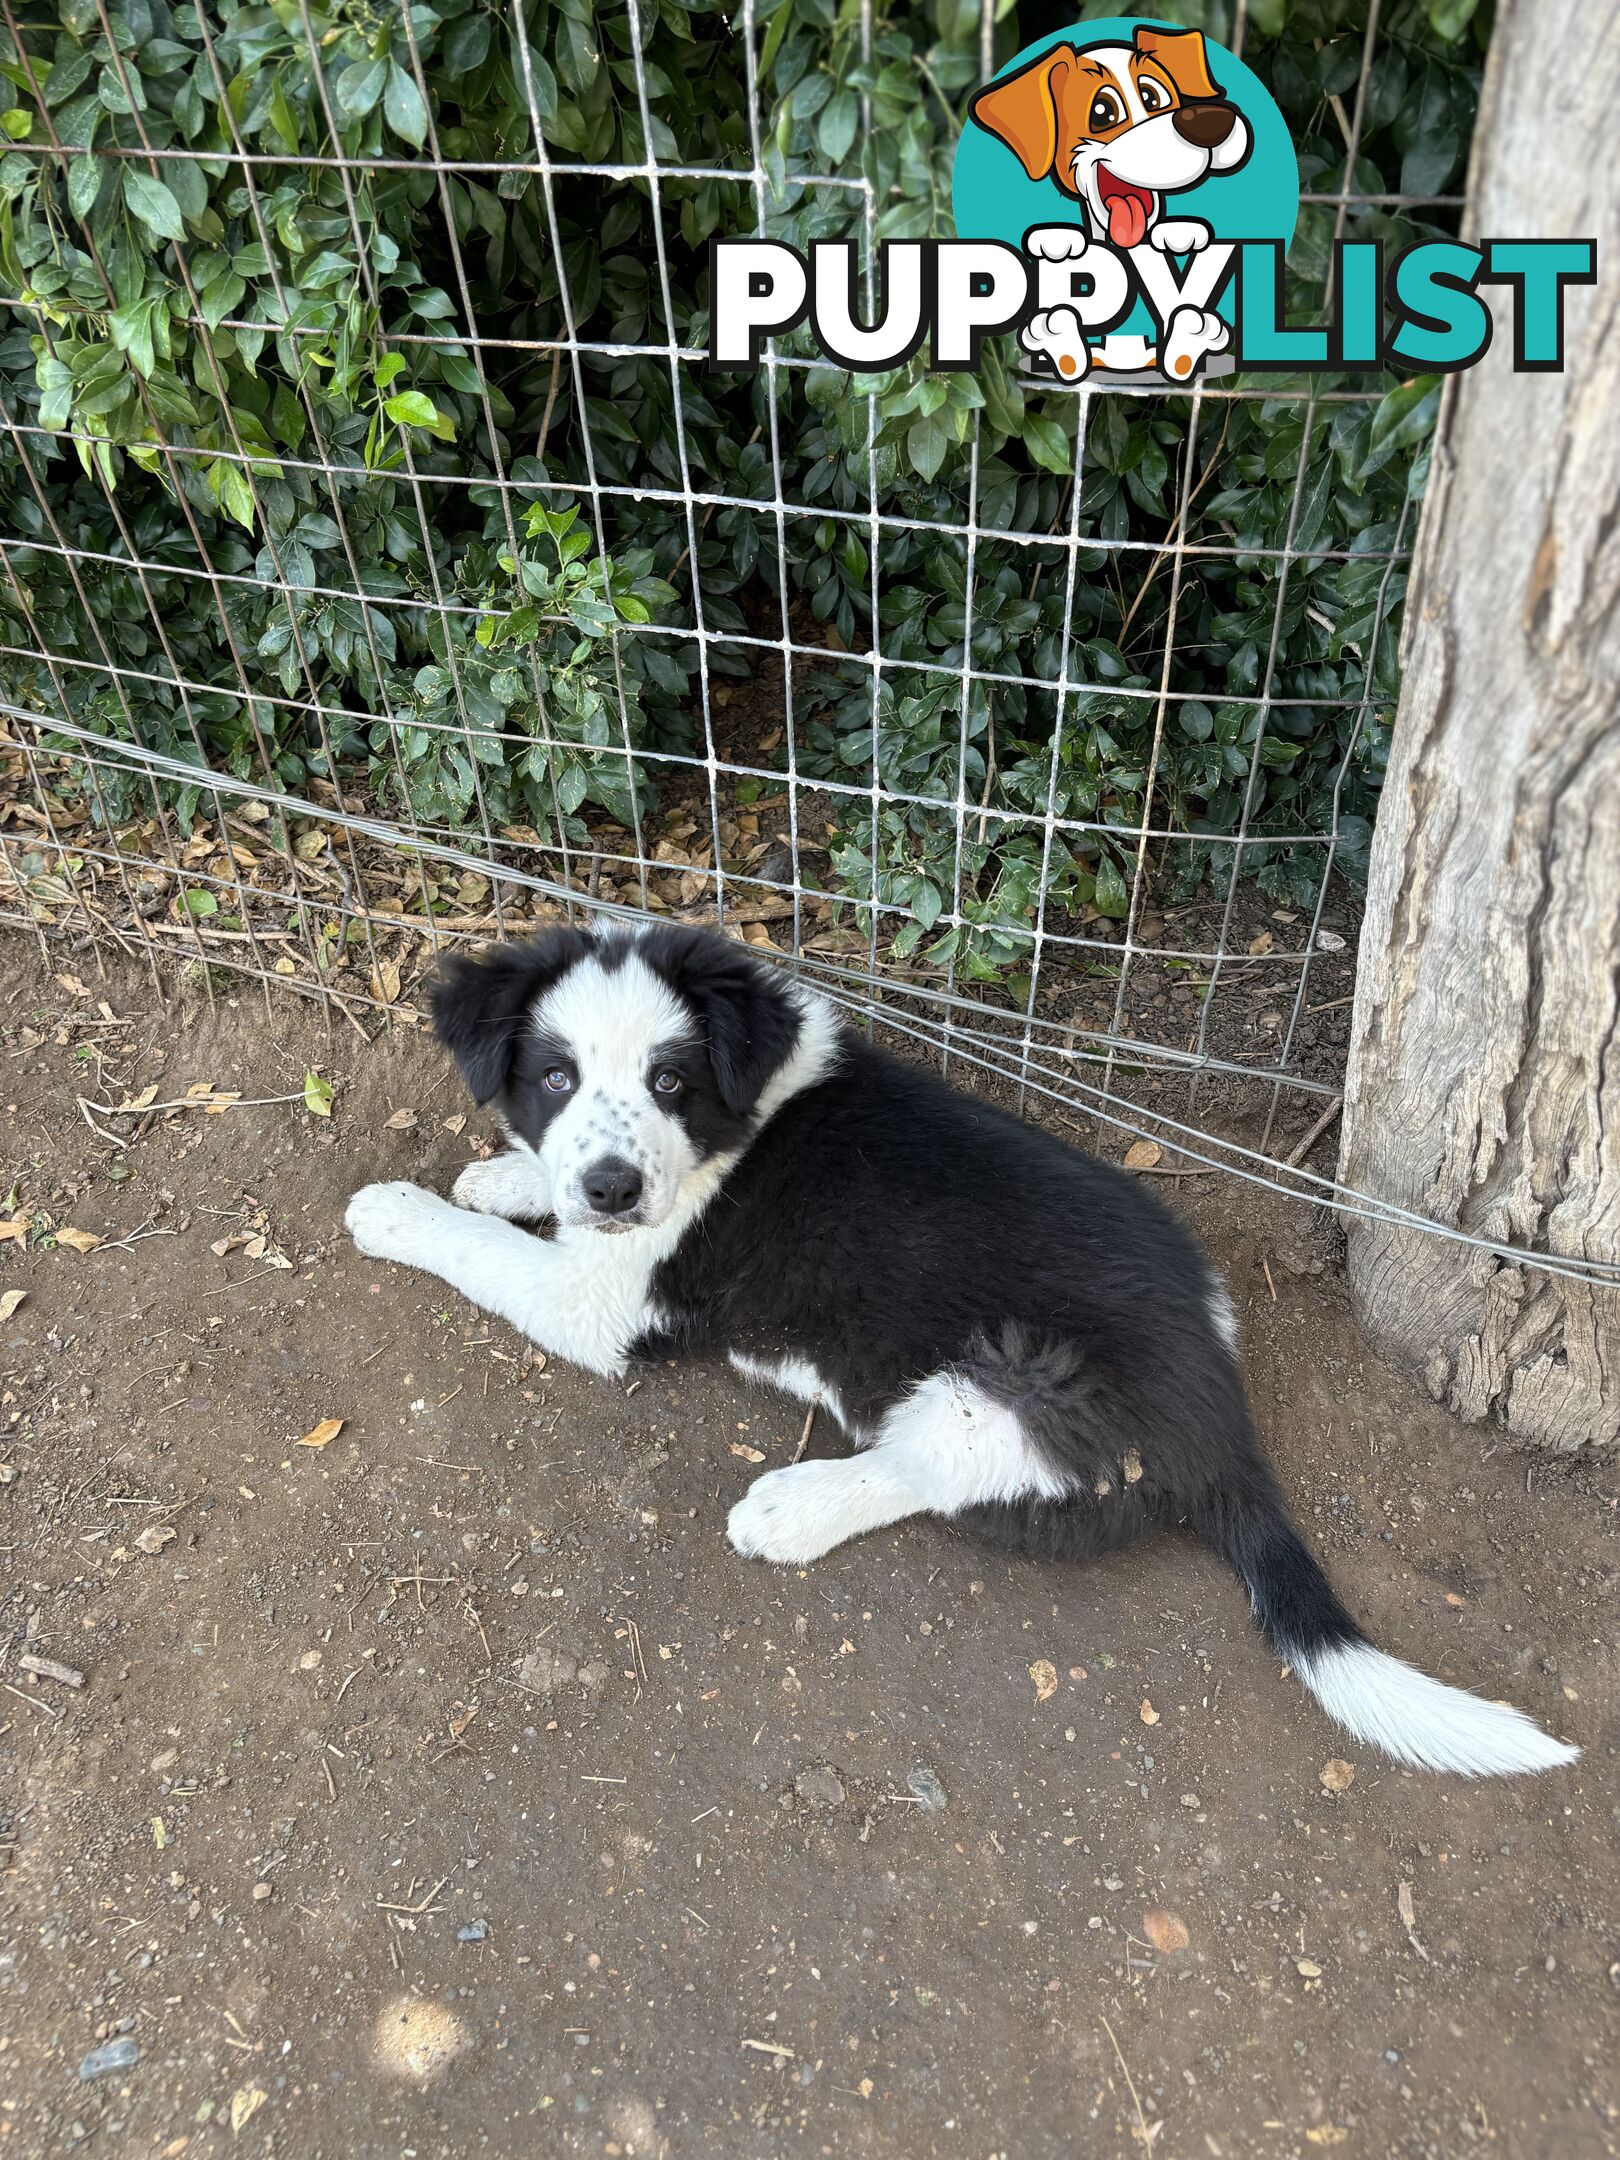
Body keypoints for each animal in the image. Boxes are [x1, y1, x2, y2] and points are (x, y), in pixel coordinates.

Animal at [349, 920, 1581, 1779]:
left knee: (921, 1468)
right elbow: (519, 1198)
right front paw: (504, 1173)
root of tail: (1222, 1420)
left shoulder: (603, 1302)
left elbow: (485, 1255)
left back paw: (792, 1507)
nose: (609, 1188)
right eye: (554, 1077)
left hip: (1015, 1388)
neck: (736, 1121)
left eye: (669, 1080)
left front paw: (399, 1211)